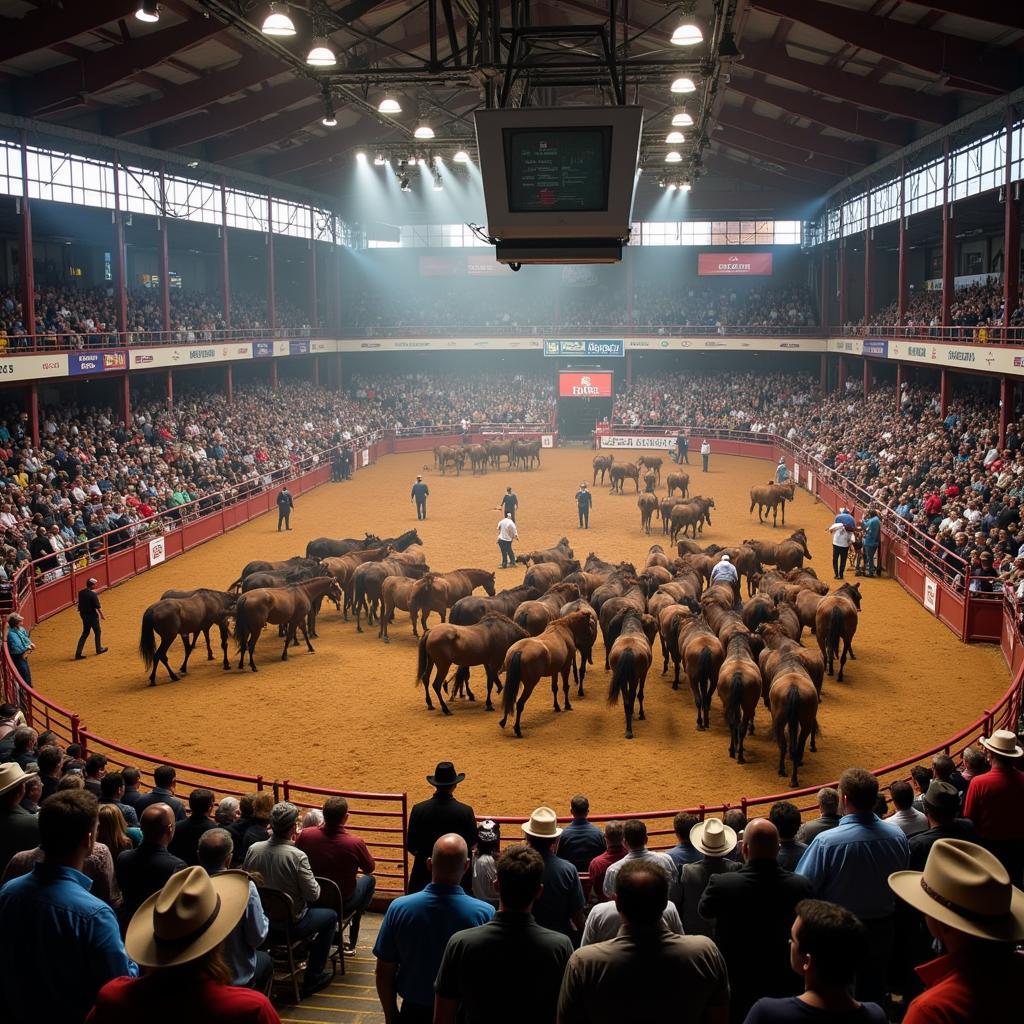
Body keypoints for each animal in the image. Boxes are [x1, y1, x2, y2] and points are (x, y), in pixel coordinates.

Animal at [497, 606, 598, 737]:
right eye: (590, 623)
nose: (591, 637)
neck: (563, 629)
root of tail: (518, 651)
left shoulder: (555, 670)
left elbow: (554, 688)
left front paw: (557, 706)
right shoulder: (565, 668)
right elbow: (565, 687)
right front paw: (567, 705)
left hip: (512, 681)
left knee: (510, 699)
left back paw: (503, 722)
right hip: (530, 684)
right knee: (519, 703)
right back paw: (517, 729)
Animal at [602, 606, 659, 737]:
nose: (610, 624)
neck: (631, 629)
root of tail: (628, 649)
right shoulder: (643, 674)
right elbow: (640, 694)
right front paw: (641, 714)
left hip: (624, 680)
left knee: (627, 701)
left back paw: (628, 725)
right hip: (634, 679)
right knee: (633, 698)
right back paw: (630, 728)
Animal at [716, 634, 765, 765]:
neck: (738, 652)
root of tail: (738, 674)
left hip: (727, 703)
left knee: (732, 724)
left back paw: (732, 750)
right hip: (747, 705)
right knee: (742, 727)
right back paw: (741, 756)